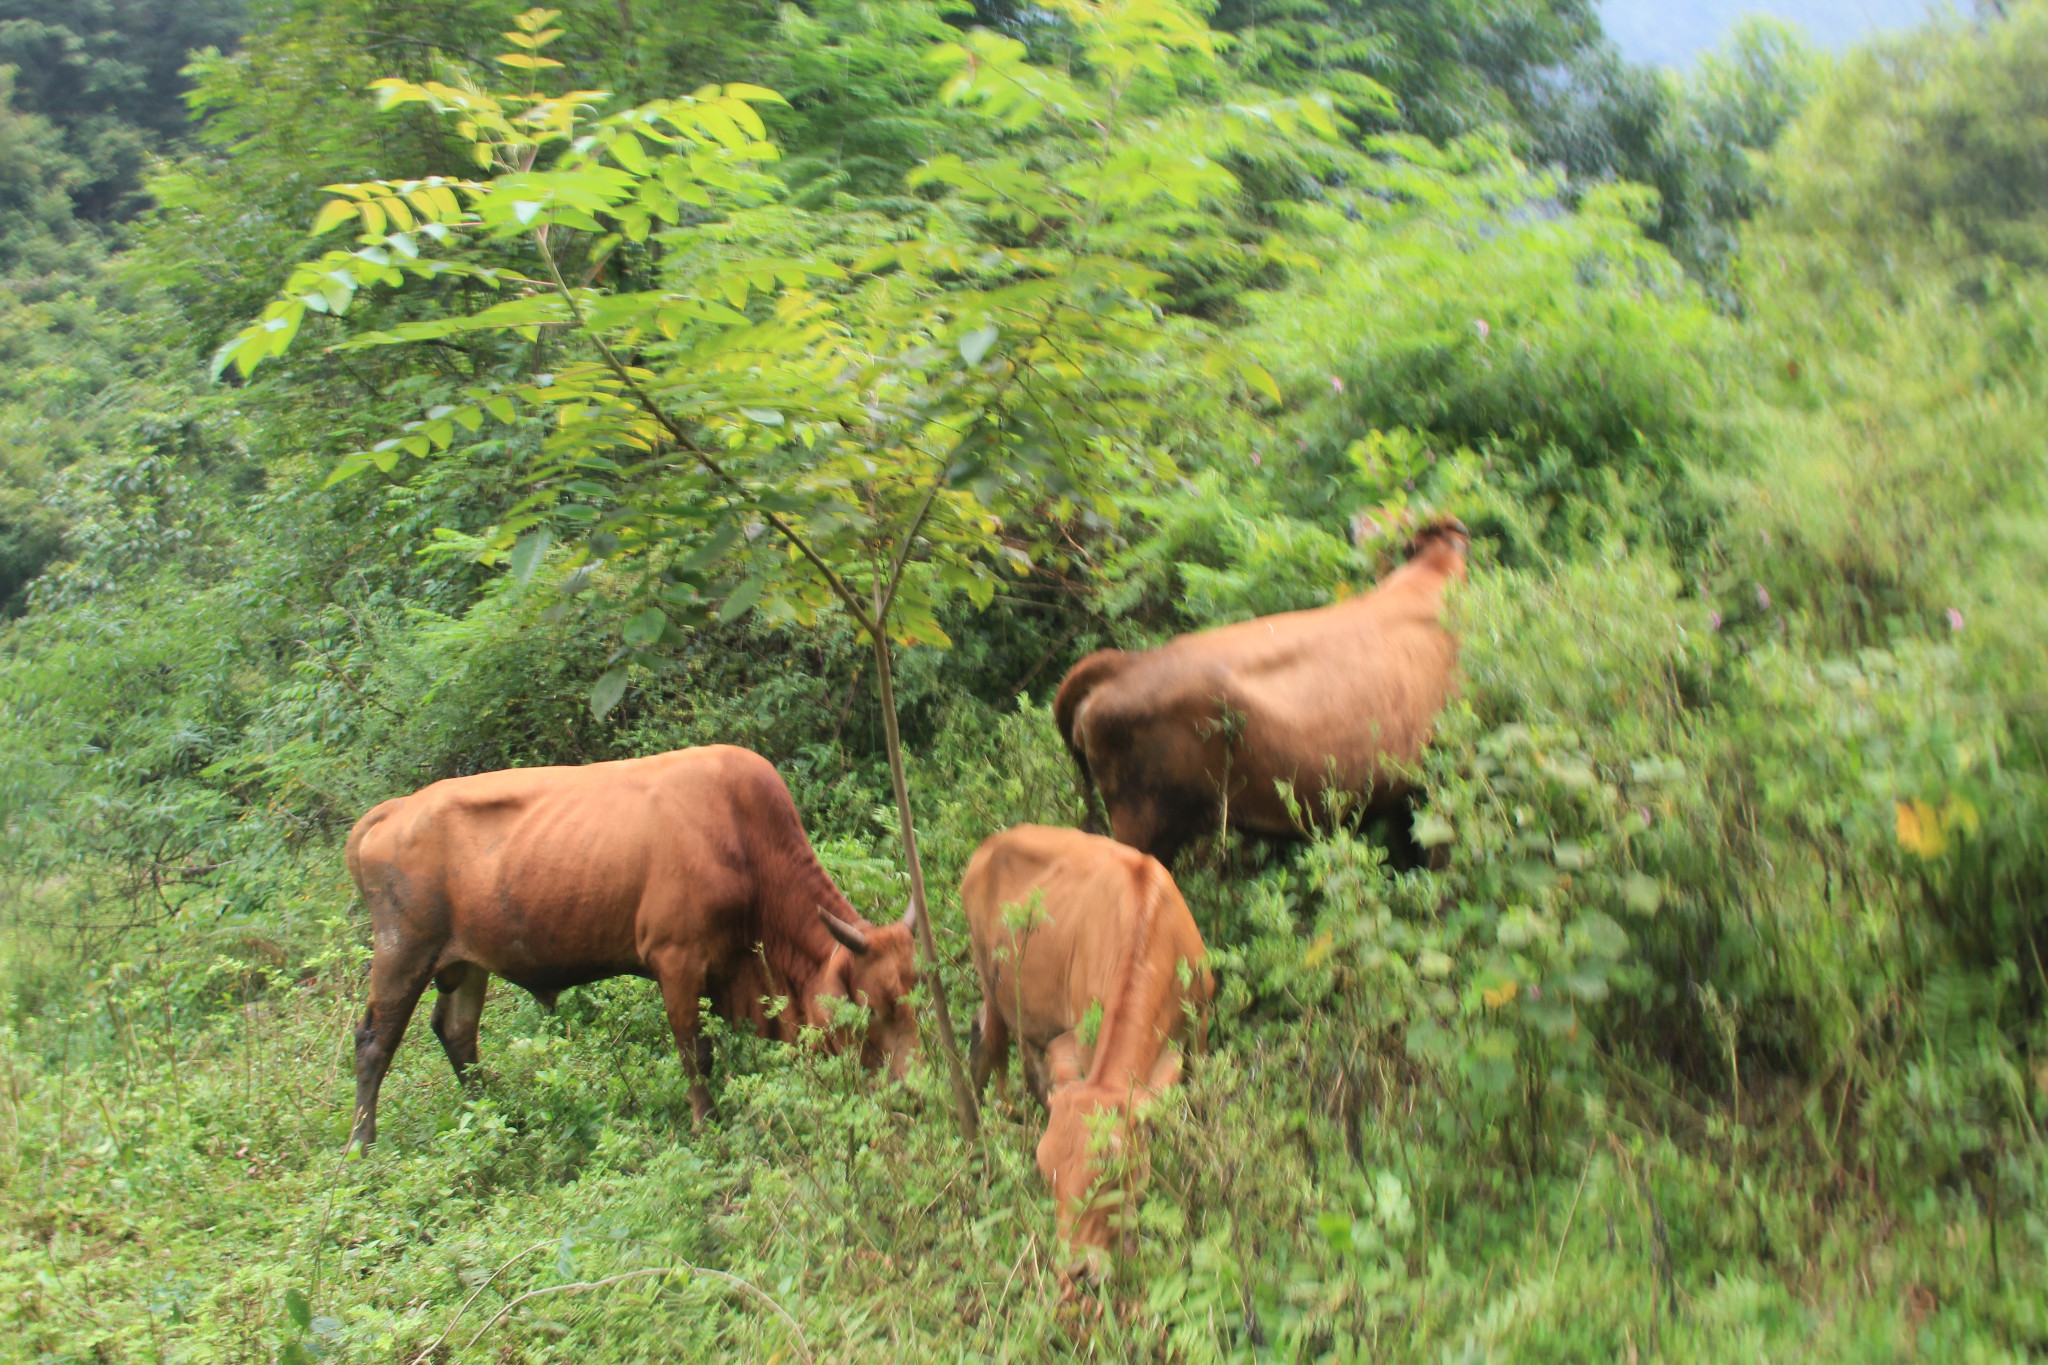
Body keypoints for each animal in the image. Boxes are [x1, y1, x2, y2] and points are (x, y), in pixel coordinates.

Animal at [339, 740, 917, 1146]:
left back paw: (498, 1119)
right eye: (871, 1006)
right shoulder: (676, 959)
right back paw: (362, 1149)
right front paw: (706, 1126)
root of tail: (393, 809)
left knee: (457, 1032)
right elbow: (695, 1051)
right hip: (402, 952)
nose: (913, 1088)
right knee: (374, 1043)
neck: (742, 843)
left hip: (465, 962)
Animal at [954, 822, 1204, 1285]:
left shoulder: (1199, 1034)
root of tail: (991, 844)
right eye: (1043, 1168)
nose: (1075, 1269)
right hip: (991, 982)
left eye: (1114, 1168)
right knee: (988, 1051)